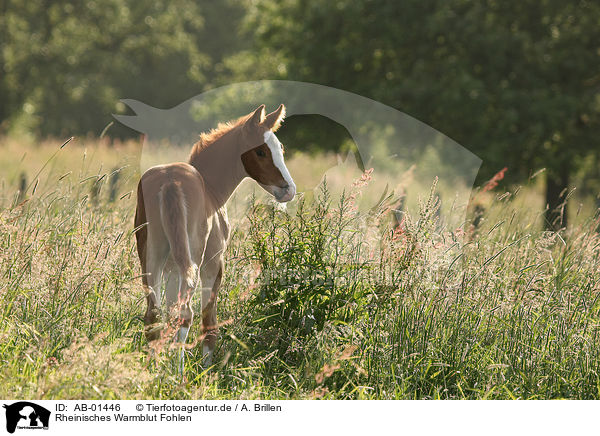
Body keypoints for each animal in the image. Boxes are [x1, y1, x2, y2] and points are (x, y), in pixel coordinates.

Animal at [135, 104, 296, 368]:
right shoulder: (214, 264)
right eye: (261, 151)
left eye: (280, 148)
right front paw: (207, 370)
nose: (288, 190)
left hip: (152, 257)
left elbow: (168, 313)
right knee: (185, 314)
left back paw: (154, 370)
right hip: (194, 258)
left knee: (154, 315)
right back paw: (177, 375)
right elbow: (208, 323)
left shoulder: (171, 269)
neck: (210, 188)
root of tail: (170, 181)